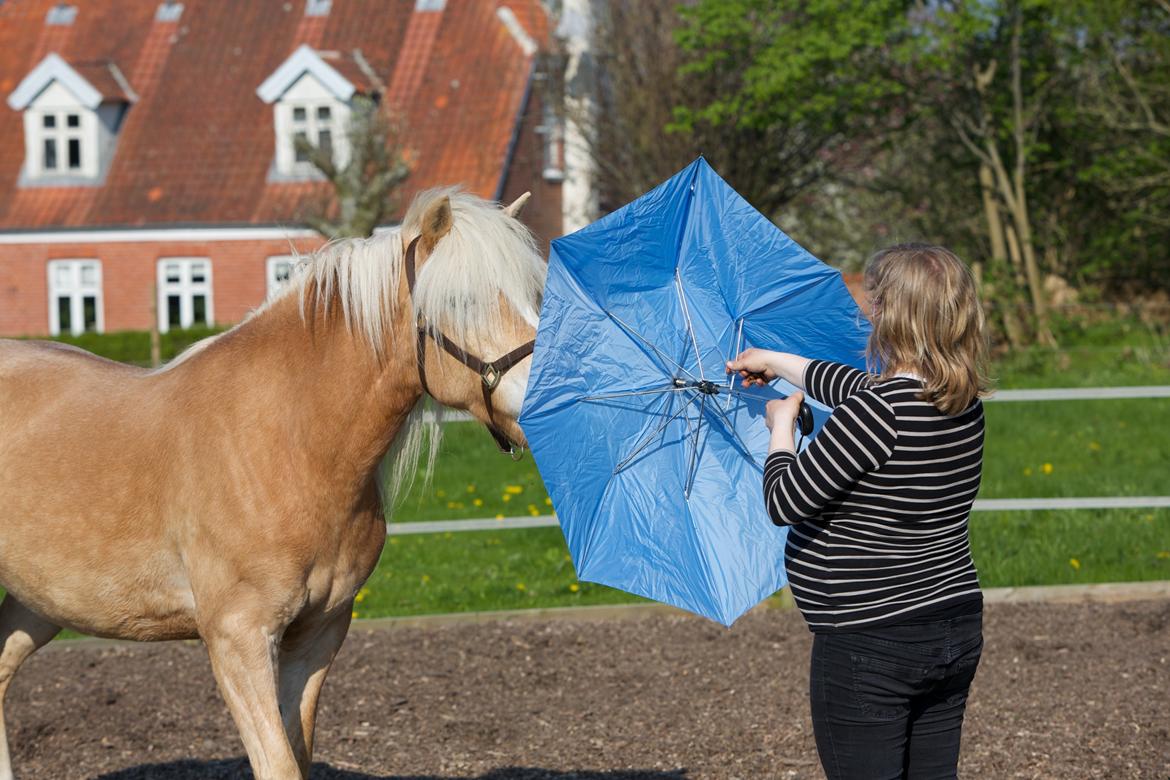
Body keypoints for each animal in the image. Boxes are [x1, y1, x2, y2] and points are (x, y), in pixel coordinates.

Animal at [0, 189, 542, 780]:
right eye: (463, 301)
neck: (288, 445)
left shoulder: (317, 635)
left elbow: (297, 752)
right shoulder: (238, 639)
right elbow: (278, 762)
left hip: (39, 601)